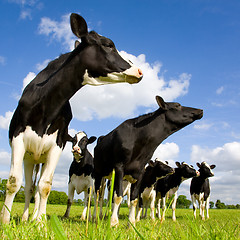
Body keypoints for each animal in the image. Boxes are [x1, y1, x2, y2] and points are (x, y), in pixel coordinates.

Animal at [0, 12, 142, 223]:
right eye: (108, 44)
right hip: (30, 157)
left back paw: (32, 218)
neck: (47, 104)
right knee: (29, 188)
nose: (139, 71)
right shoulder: (18, 140)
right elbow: (13, 182)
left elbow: (45, 186)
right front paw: (5, 220)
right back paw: (25, 217)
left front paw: (40, 222)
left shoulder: (57, 145)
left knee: (36, 188)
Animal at [93, 95, 203, 227]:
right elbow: (118, 196)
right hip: (98, 173)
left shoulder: (140, 171)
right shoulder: (119, 167)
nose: (200, 110)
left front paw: (131, 224)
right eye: (177, 105)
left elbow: (134, 199)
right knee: (97, 196)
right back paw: (93, 217)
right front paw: (114, 223)